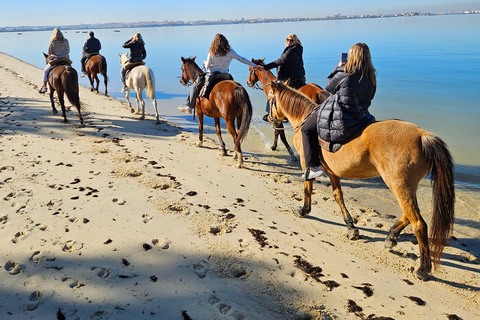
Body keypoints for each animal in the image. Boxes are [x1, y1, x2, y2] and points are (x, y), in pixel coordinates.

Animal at [268, 80, 456, 280]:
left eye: (270, 99)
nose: (268, 118)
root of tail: (422, 135)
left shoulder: (307, 164)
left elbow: (308, 189)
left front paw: (304, 210)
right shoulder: (333, 172)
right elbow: (338, 197)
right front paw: (351, 227)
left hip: (399, 185)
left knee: (419, 223)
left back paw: (423, 268)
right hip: (405, 187)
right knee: (409, 215)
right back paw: (390, 238)